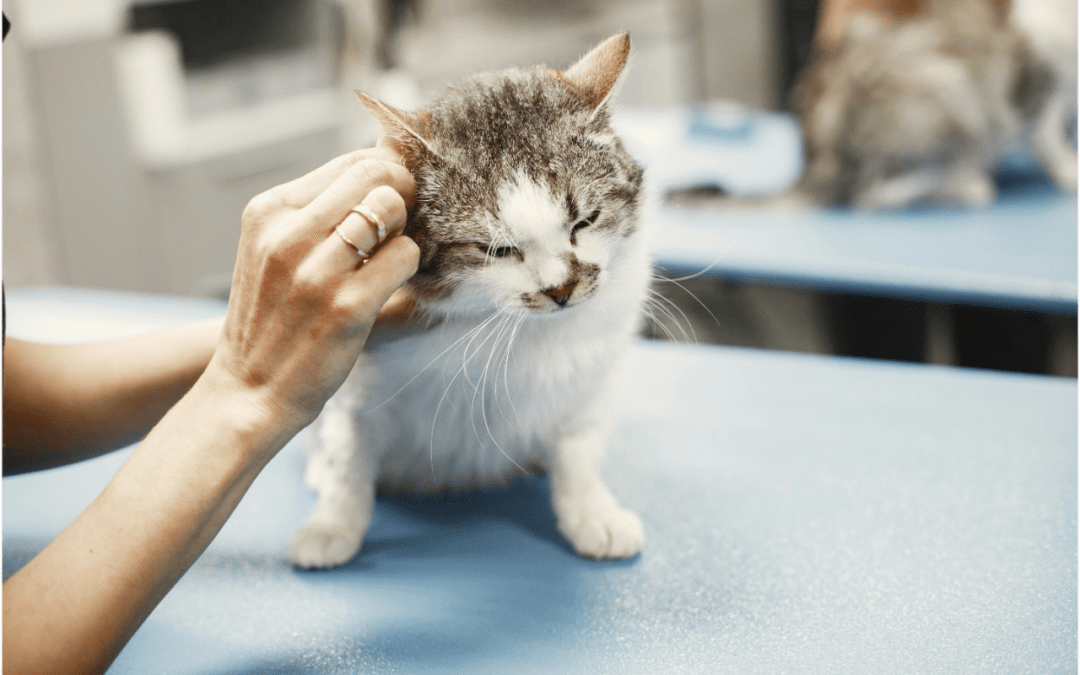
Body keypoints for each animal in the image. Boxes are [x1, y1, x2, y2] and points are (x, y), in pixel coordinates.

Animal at [287, 32, 648, 570]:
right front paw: (333, 523)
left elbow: (578, 447)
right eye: (497, 250)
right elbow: (348, 455)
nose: (562, 289)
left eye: (585, 221)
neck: (506, 329)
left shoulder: (585, 383)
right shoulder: (356, 385)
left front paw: (592, 513)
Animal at [790, 0, 1075, 208]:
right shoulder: (1030, 76)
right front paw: (1070, 169)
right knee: (874, 193)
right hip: (947, 84)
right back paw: (968, 184)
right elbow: (1048, 135)